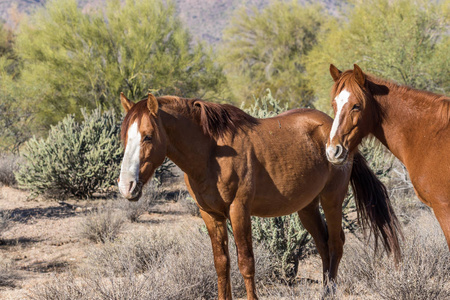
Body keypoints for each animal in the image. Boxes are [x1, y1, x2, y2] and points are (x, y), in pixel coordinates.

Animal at [117, 92, 400, 298]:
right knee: (323, 244)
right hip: (307, 207)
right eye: (124, 137)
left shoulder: (239, 210)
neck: (212, 153)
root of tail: (334, 133)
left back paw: (329, 293)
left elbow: (246, 262)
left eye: (148, 137)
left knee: (335, 243)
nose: (126, 186)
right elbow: (221, 263)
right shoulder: (210, 215)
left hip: (332, 200)